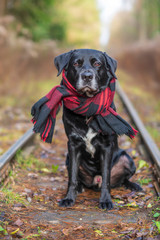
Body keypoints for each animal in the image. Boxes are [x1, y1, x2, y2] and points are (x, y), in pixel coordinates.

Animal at [53, 49, 142, 210]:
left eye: (97, 64)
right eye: (76, 63)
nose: (87, 76)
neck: (88, 106)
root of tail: (95, 182)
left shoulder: (107, 146)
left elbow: (106, 178)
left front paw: (106, 201)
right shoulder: (73, 145)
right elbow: (72, 177)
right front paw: (69, 198)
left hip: (127, 158)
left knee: (121, 179)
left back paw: (133, 186)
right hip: (68, 158)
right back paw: (79, 188)